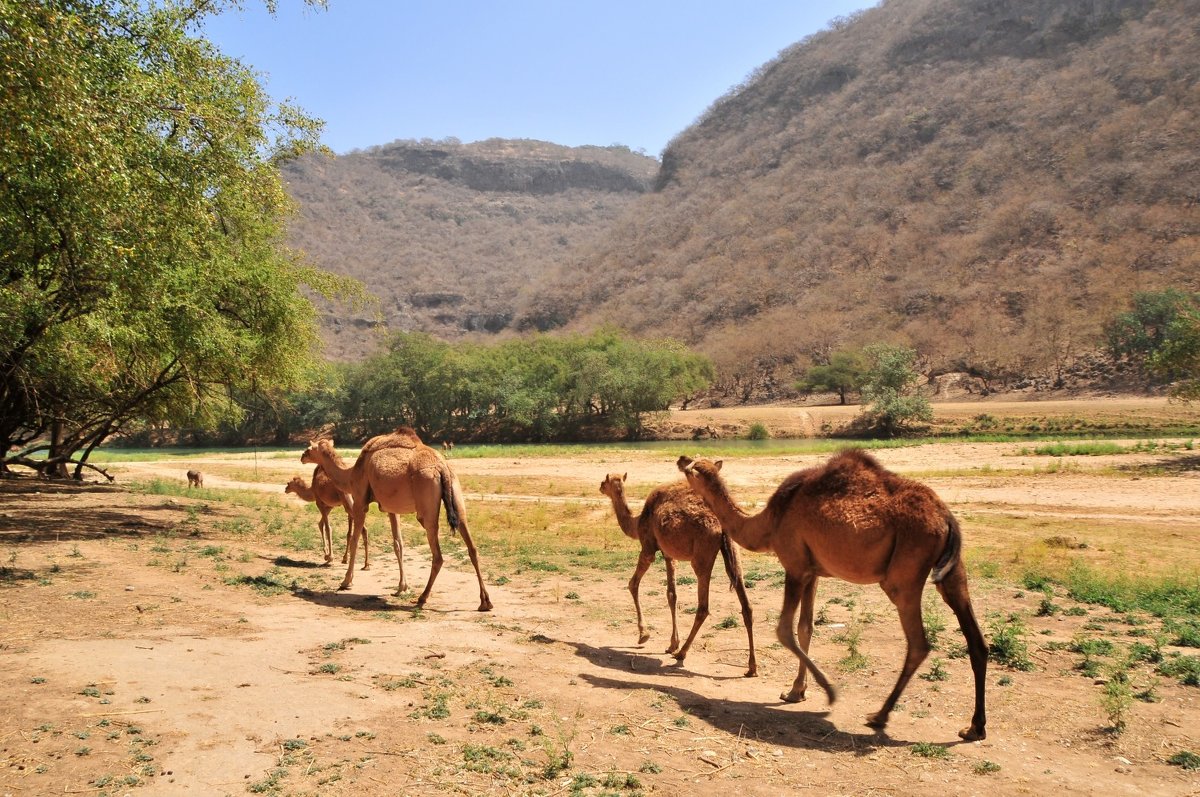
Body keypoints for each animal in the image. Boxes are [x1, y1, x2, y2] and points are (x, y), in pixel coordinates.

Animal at [304, 429, 492, 609]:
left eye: (310, 448)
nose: (302, 456)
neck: (351, 475)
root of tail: (442, 468)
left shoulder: (360, 500)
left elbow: (355, 539)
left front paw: (346, 581)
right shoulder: (391, 509)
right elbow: (398, 544)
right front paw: (402, 587)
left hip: (426, 506)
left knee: (438, 555)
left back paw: (422, 597)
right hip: (456, 493)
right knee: (471, 546)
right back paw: (485, 602)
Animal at [597, 475, 753, 676]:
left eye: (605, 481)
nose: (600, 487)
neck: (637, 520)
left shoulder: (648, 547)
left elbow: (633, 584)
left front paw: (644, 635)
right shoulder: (669, 554)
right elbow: (672, 594)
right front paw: (672, 643)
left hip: (702, 554)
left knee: (703, 607)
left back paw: (682, 653)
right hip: (733, 549)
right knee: (745, 603)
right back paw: (752, 667)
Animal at [681, 448, 988, 739]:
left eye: (693, 467)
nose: (681, 457)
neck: (769, 522)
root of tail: (946, 518)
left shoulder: (795, 565)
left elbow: (784, 630)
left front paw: (829, 691)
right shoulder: (812, 571)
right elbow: (806, 628)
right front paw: (795, 692)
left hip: (905, 575)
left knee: (918, 643)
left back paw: (879, 715)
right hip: (952, 572)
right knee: (976, 640)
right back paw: (974, 727)